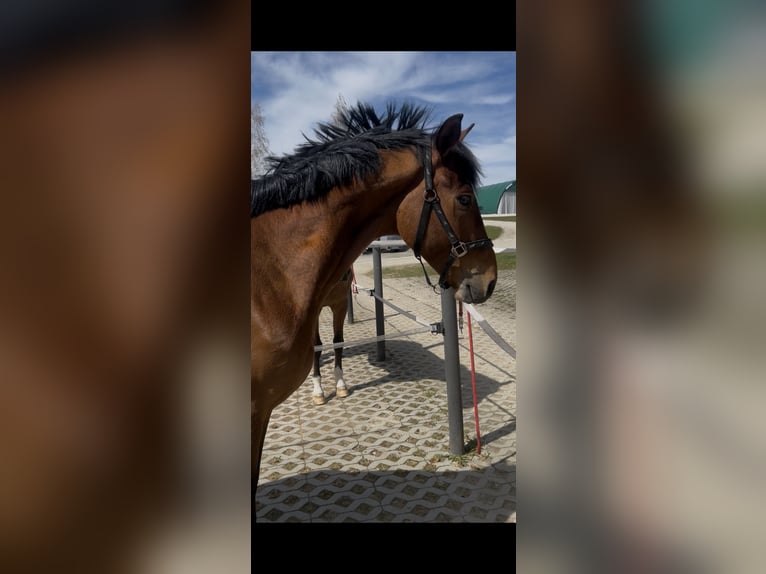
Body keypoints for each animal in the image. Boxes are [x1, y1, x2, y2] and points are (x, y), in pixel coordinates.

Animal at [311, 267, 353, 404]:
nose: (345, 274)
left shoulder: (341, 304)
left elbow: (338, 342)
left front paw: (341, 385)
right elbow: (316, 346)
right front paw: (318, 391)